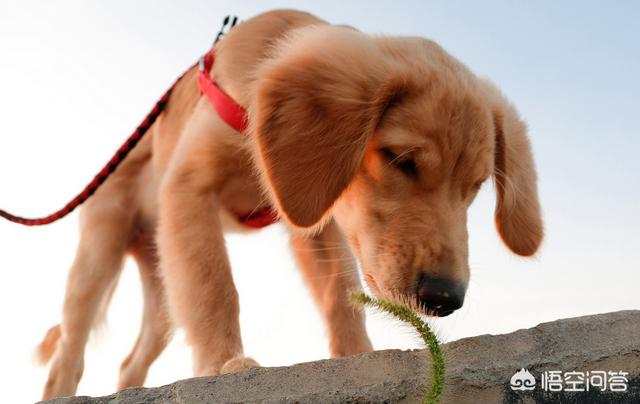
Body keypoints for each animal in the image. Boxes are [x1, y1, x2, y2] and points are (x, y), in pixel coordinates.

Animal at [35, 8, 544, 398]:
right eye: (401, 159)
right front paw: (225, 364)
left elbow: (340, 294)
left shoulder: (317, 219)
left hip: (164, 284)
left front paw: (356, 355)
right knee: (69, 354)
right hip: (100, 255)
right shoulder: (190, 185)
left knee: (133, 357)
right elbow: (215, 285)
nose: (444, 298)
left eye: (475, 186)